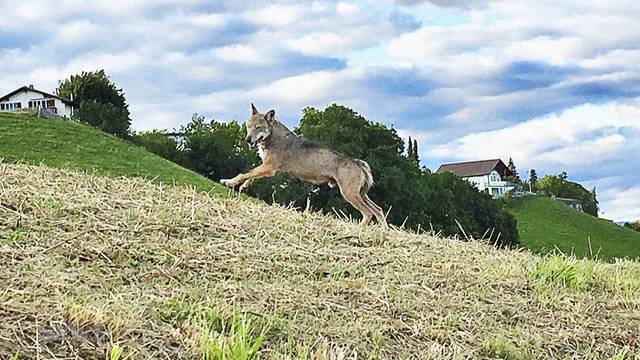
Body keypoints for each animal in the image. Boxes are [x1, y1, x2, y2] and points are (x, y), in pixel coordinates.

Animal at [220, 103, 390, 228]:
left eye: (258, 127)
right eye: (248, 125)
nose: (248, 140)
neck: (272, 136)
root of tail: (359, 163)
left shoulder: (269, 168)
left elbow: (244, 173)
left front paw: (229, 182)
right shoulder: (265, 167)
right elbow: (250, 175)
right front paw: (243, 186)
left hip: (349, 195)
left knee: (368, 213)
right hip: (360, 195)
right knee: (379, 210)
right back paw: (384, 231)